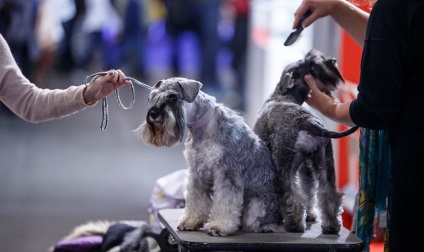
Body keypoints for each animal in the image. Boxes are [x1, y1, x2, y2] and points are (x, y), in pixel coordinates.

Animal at [136, 77, 282, 236]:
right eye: (152, 97)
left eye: (173, 97)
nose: (153, 114)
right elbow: (195, 200)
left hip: (256, 206)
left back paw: (267, 227)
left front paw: (219, 226)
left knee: (256, 222)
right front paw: (190, 222)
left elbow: (225, 202)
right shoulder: (196, 173)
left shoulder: (226, 174)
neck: (201, 128)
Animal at [253, 48, 360, 234]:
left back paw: (294, 223)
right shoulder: (307, 168)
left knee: (291, 195)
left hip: (283, 165)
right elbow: (310, 190)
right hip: (325, 162)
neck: (282, 96)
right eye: (311, 64)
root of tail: (306, 120)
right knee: (329, 193)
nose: (332, 61)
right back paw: (331, 225)